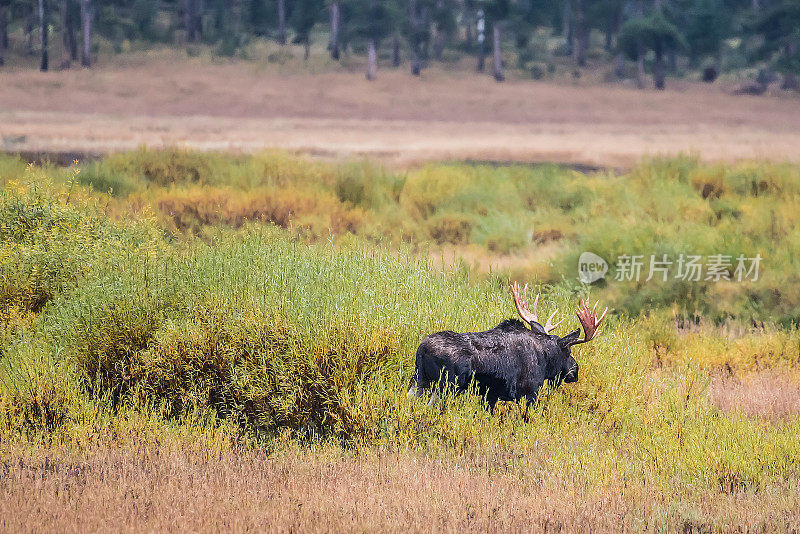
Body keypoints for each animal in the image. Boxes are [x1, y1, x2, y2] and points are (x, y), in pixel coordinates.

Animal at [406, 284, 608, 410]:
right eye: (568, 351)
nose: (575, 371)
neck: (545, 359)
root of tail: (422, 349)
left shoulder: (490, 395)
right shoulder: (530, 393)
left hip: (419, 380)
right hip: (446, 386)